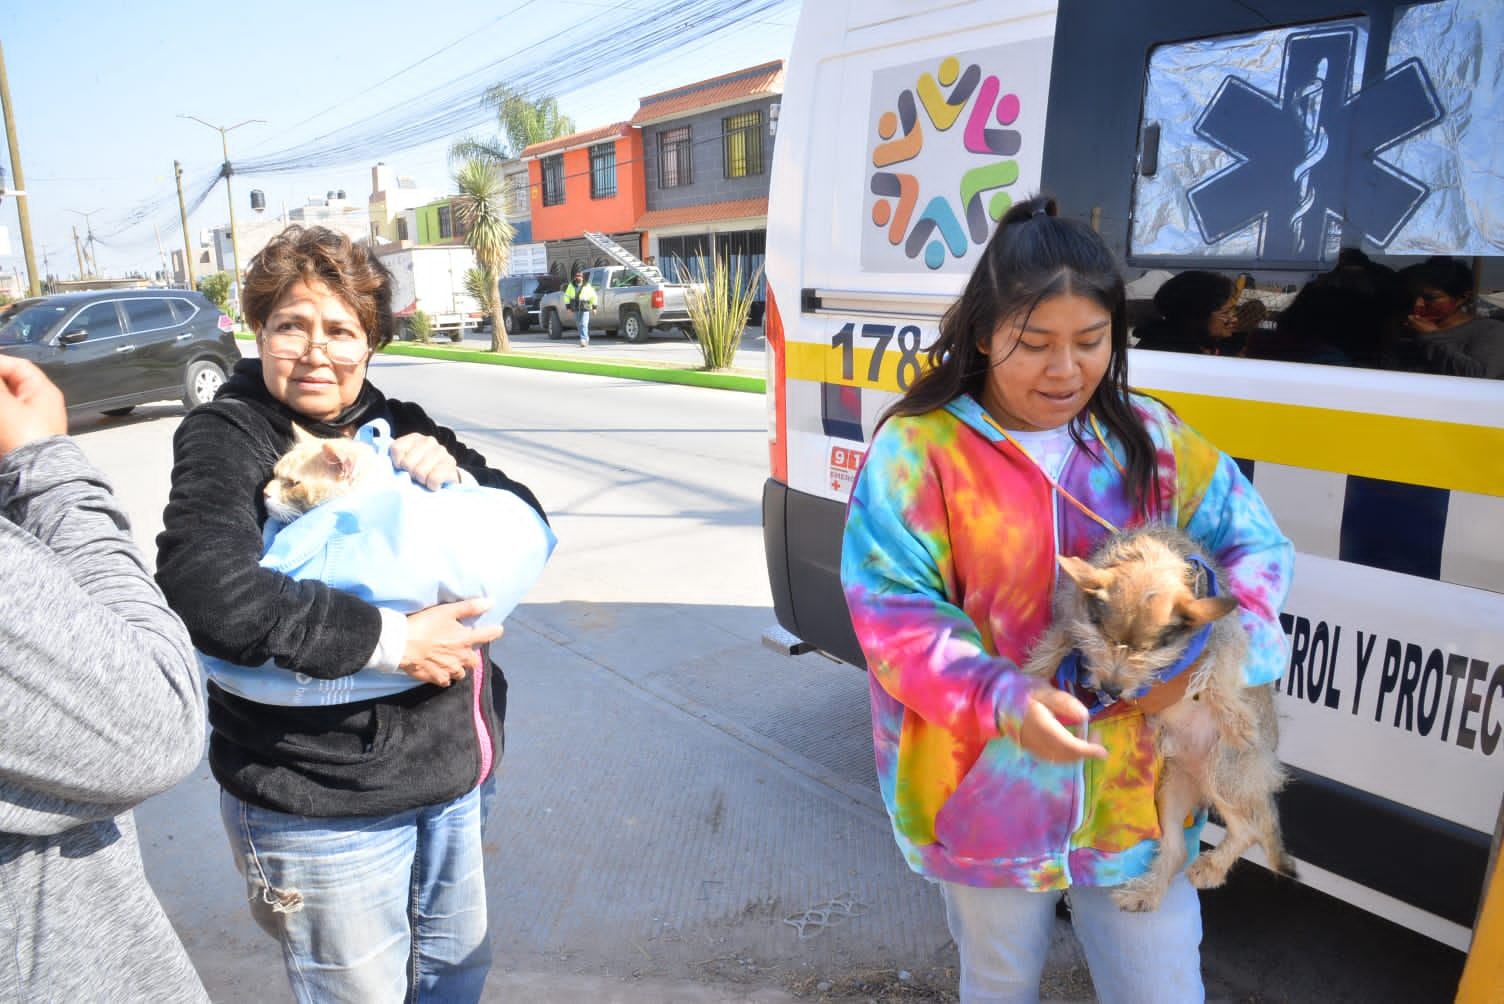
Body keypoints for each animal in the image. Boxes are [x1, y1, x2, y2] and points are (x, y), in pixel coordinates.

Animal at [1022, 526, 1293, 907]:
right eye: (1105, 638)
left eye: (1147, 651)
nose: (1111, 689)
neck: (1154, 553)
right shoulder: (1072, 614)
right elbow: (1055, 643)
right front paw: (1028, 679)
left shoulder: (1225, 633)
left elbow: (1217, 672)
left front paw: (1237, 721)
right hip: (1173, 787)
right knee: (1179, 849)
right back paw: (1147, 893)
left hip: (1225, 772)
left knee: (1251, 828)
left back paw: (1212, 867)